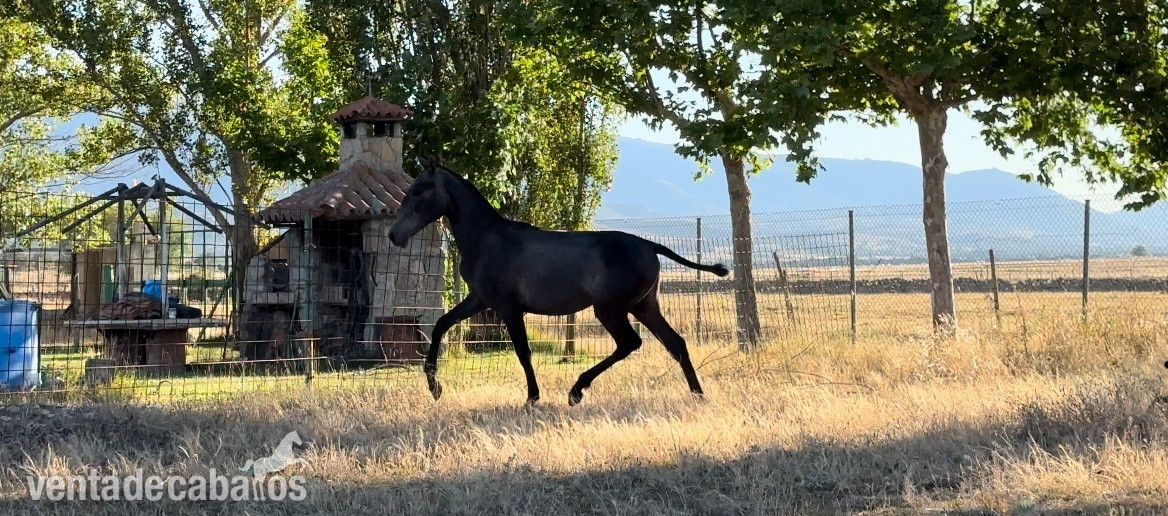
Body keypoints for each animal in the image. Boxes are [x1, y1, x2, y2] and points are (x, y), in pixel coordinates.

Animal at [388, 158, 730, 406]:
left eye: (419, 190)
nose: (394, 235)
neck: (487, 240)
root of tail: (651, 246)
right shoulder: (480, 300)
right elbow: (440, 325)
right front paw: (435, 388)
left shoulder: (509, 309)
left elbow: (523, 352)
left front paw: (532, 398)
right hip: (644, 307)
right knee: (675, 343)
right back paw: (698, 395)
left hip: (610, 309)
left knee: (630, 343)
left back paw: (577, 391)